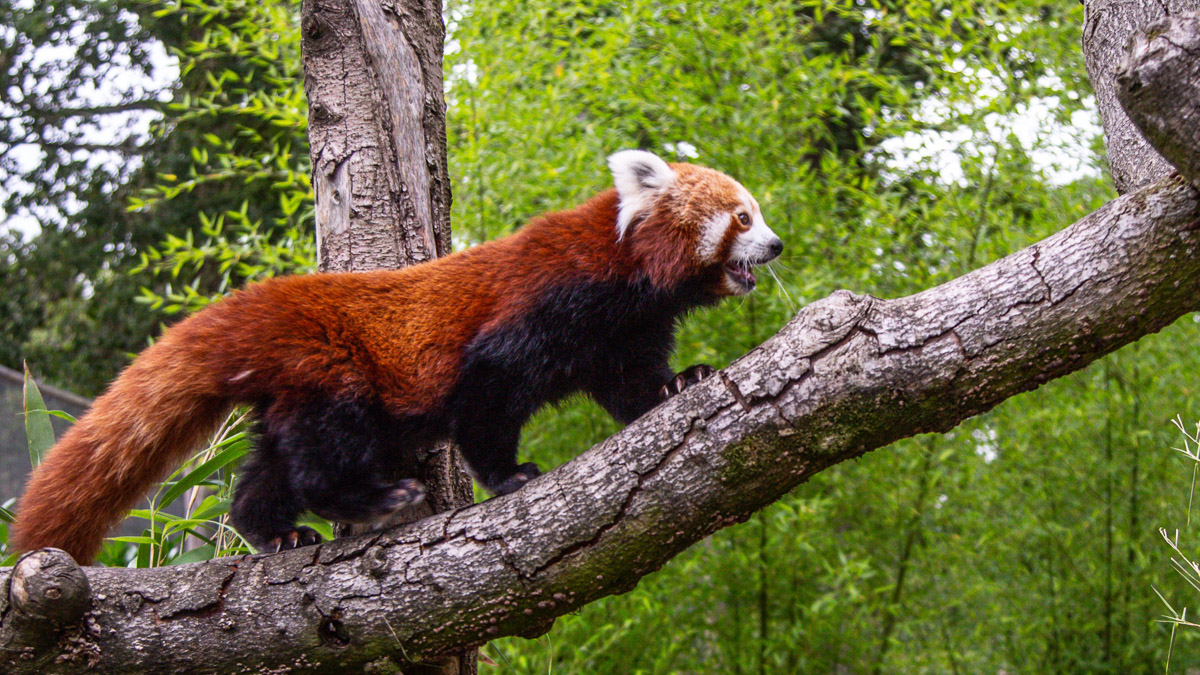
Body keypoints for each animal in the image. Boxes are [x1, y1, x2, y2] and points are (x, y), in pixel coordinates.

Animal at [14, 151, 782, 562]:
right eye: (743, 216)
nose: (776, 246)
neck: (625, 273)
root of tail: (274, 301)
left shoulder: (621, 332)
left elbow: (632, 384)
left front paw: (681, 382)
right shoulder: (541, 306)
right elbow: (488, 397)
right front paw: (508, 476)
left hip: (292, 389)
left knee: (269, 467)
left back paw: (276, 531)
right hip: (334, 369)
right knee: (322, 453)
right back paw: (377, 497)